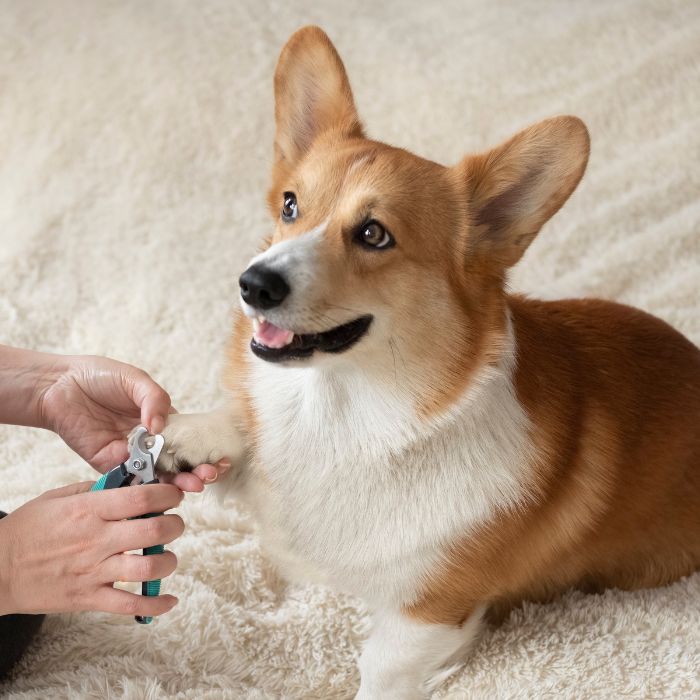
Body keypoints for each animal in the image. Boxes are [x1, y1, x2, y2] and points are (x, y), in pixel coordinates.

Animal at [157, 26, 700, 700]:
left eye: (374, 234)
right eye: (289, 205)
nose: (253, 284)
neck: (344, 415)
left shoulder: (427, 617)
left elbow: (381, 672)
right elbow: (239, 422)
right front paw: (191, 434)